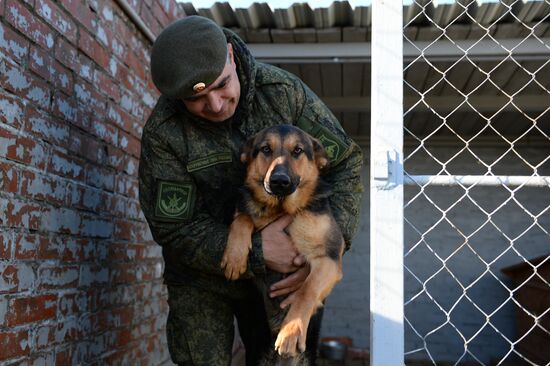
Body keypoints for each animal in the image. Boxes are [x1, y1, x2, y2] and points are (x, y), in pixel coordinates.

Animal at [221, 124, 344, 362]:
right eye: (266, 149)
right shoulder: (246, 214)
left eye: (297, 151)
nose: (279, 181)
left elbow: (306, 289)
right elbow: (243, 218)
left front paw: (291, 332)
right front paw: (234, 257)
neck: (280, 208)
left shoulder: (329, 259)